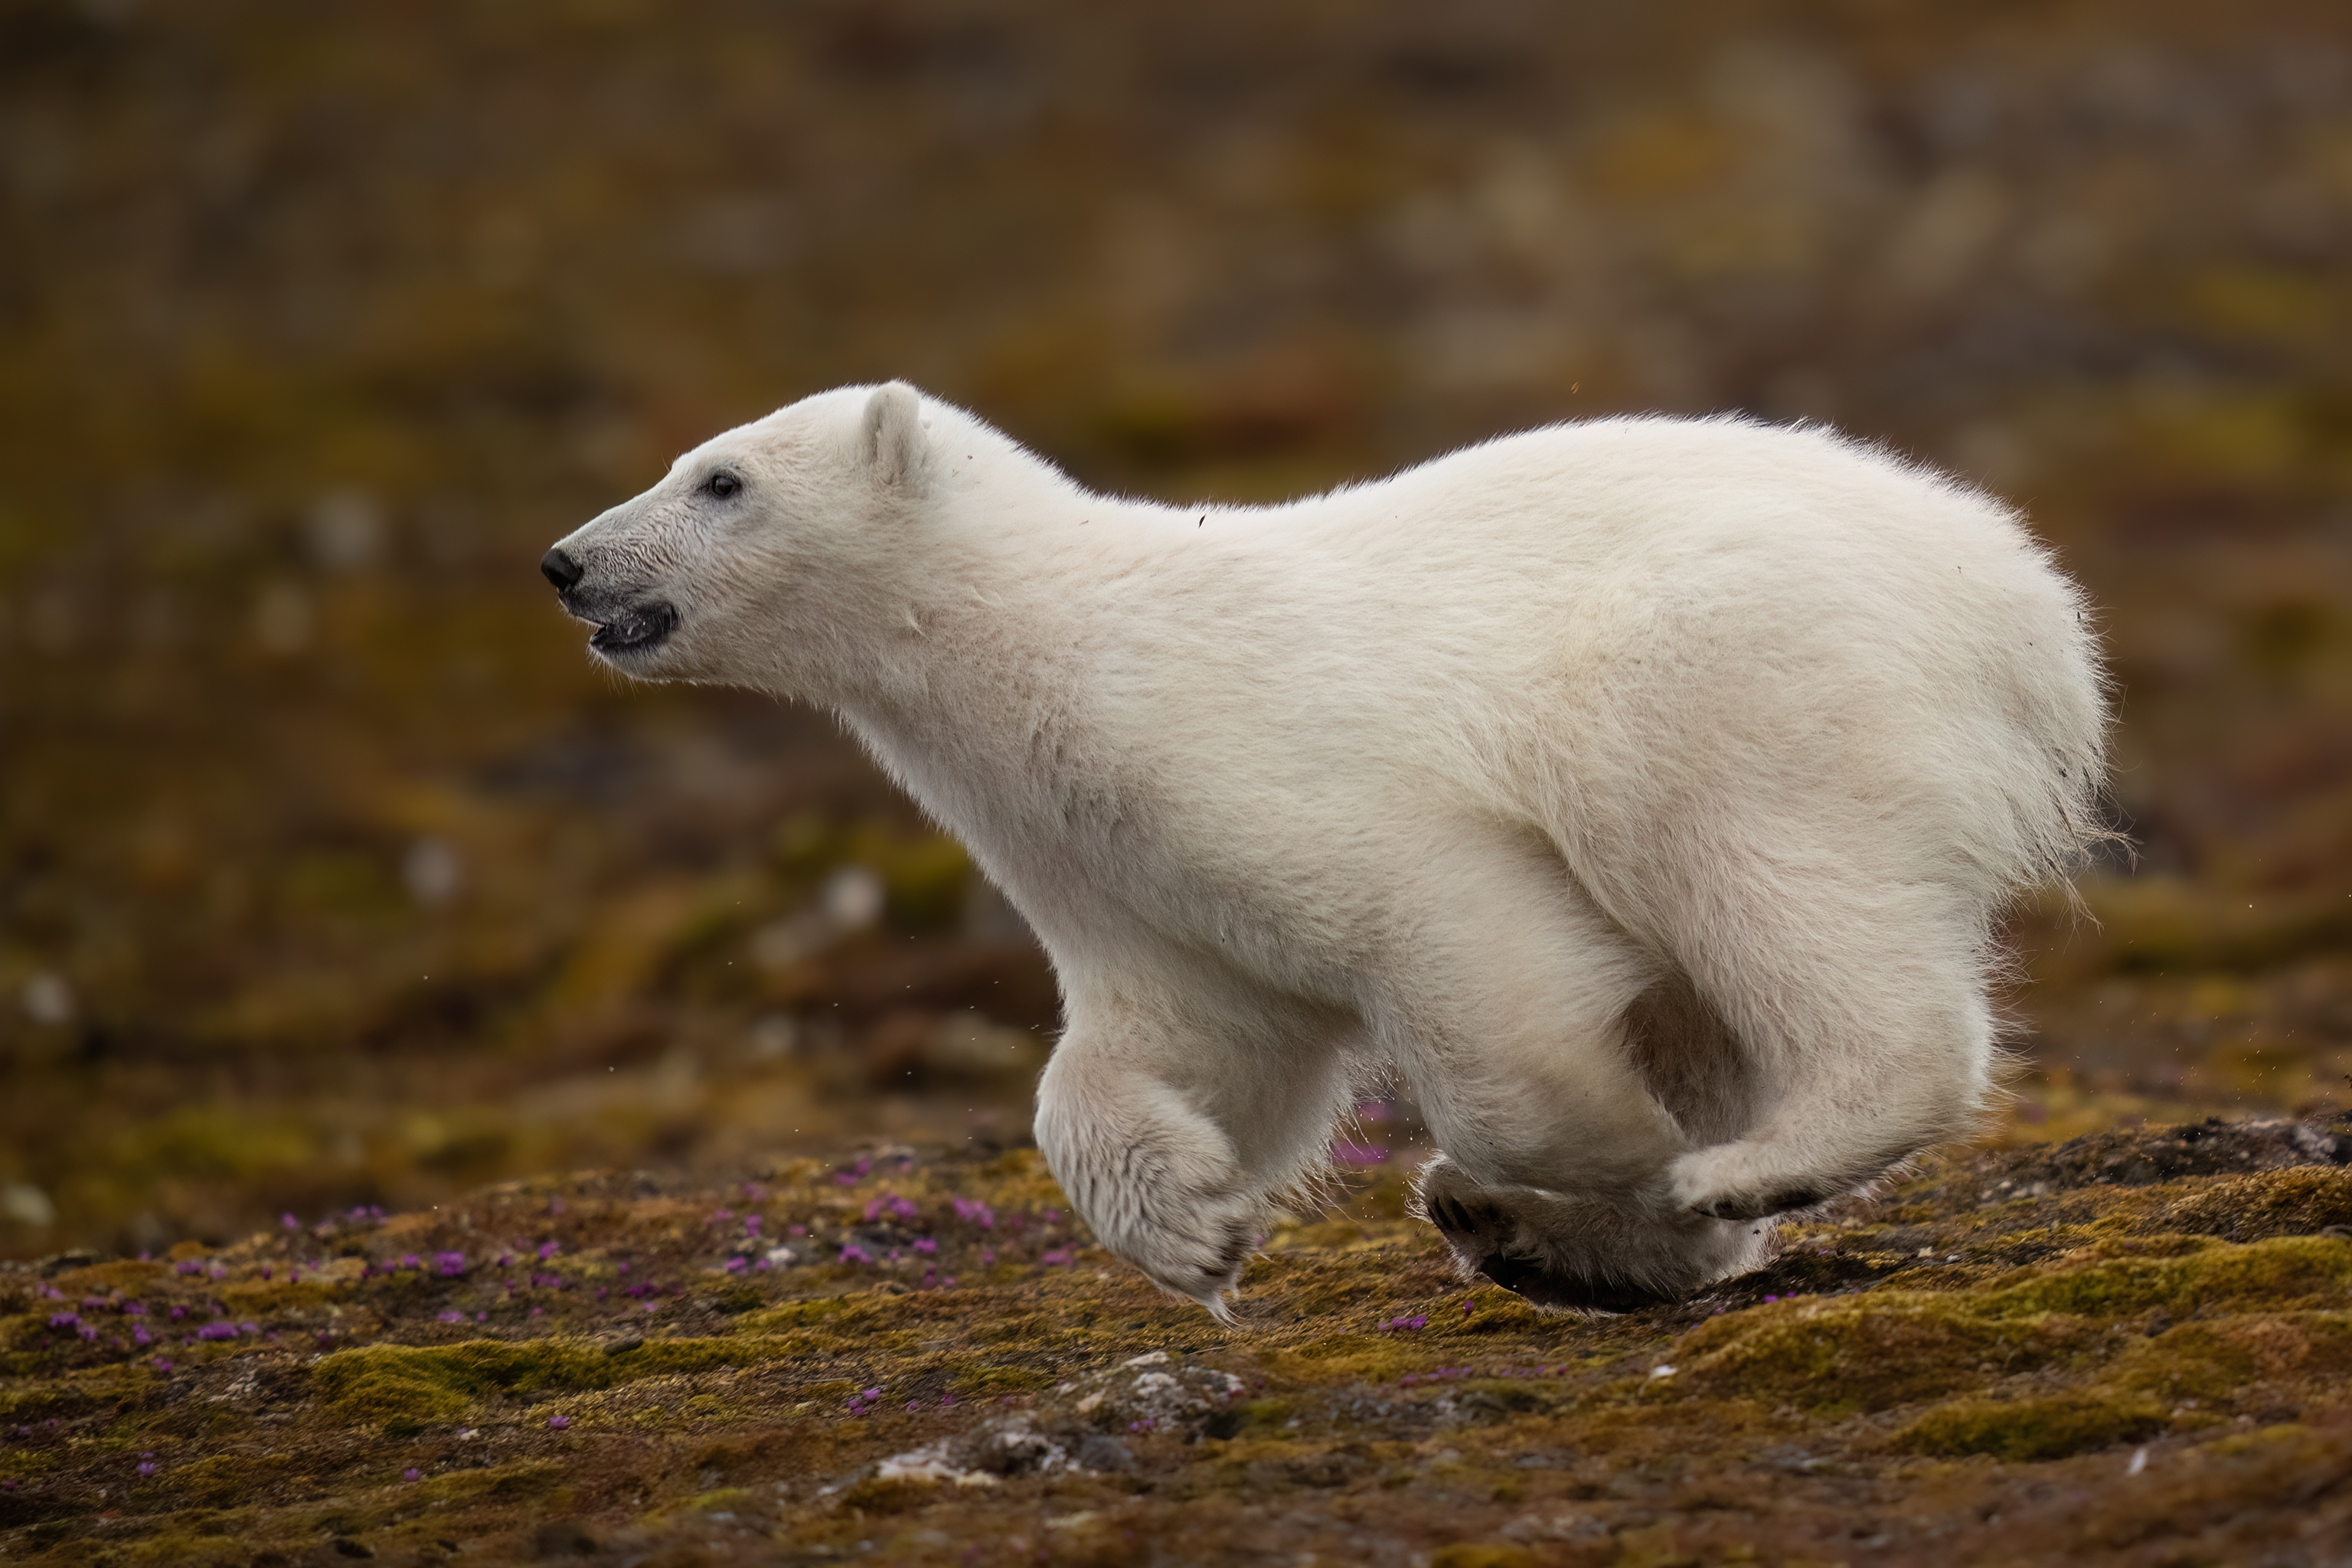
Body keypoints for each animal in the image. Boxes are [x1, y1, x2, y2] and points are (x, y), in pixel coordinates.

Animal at [541, 385, 2107, 1316]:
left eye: (721, 479)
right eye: (684, 463)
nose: (565, 560)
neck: (1062, 646)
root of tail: (2022, 597)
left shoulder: (1272, 764)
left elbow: (1465, 956)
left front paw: (1608, 1161)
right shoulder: (1115, 865)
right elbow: (1171, 1044)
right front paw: (1192, 1232)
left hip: (1732, 679)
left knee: (1774, 891)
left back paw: (1741, 1168)